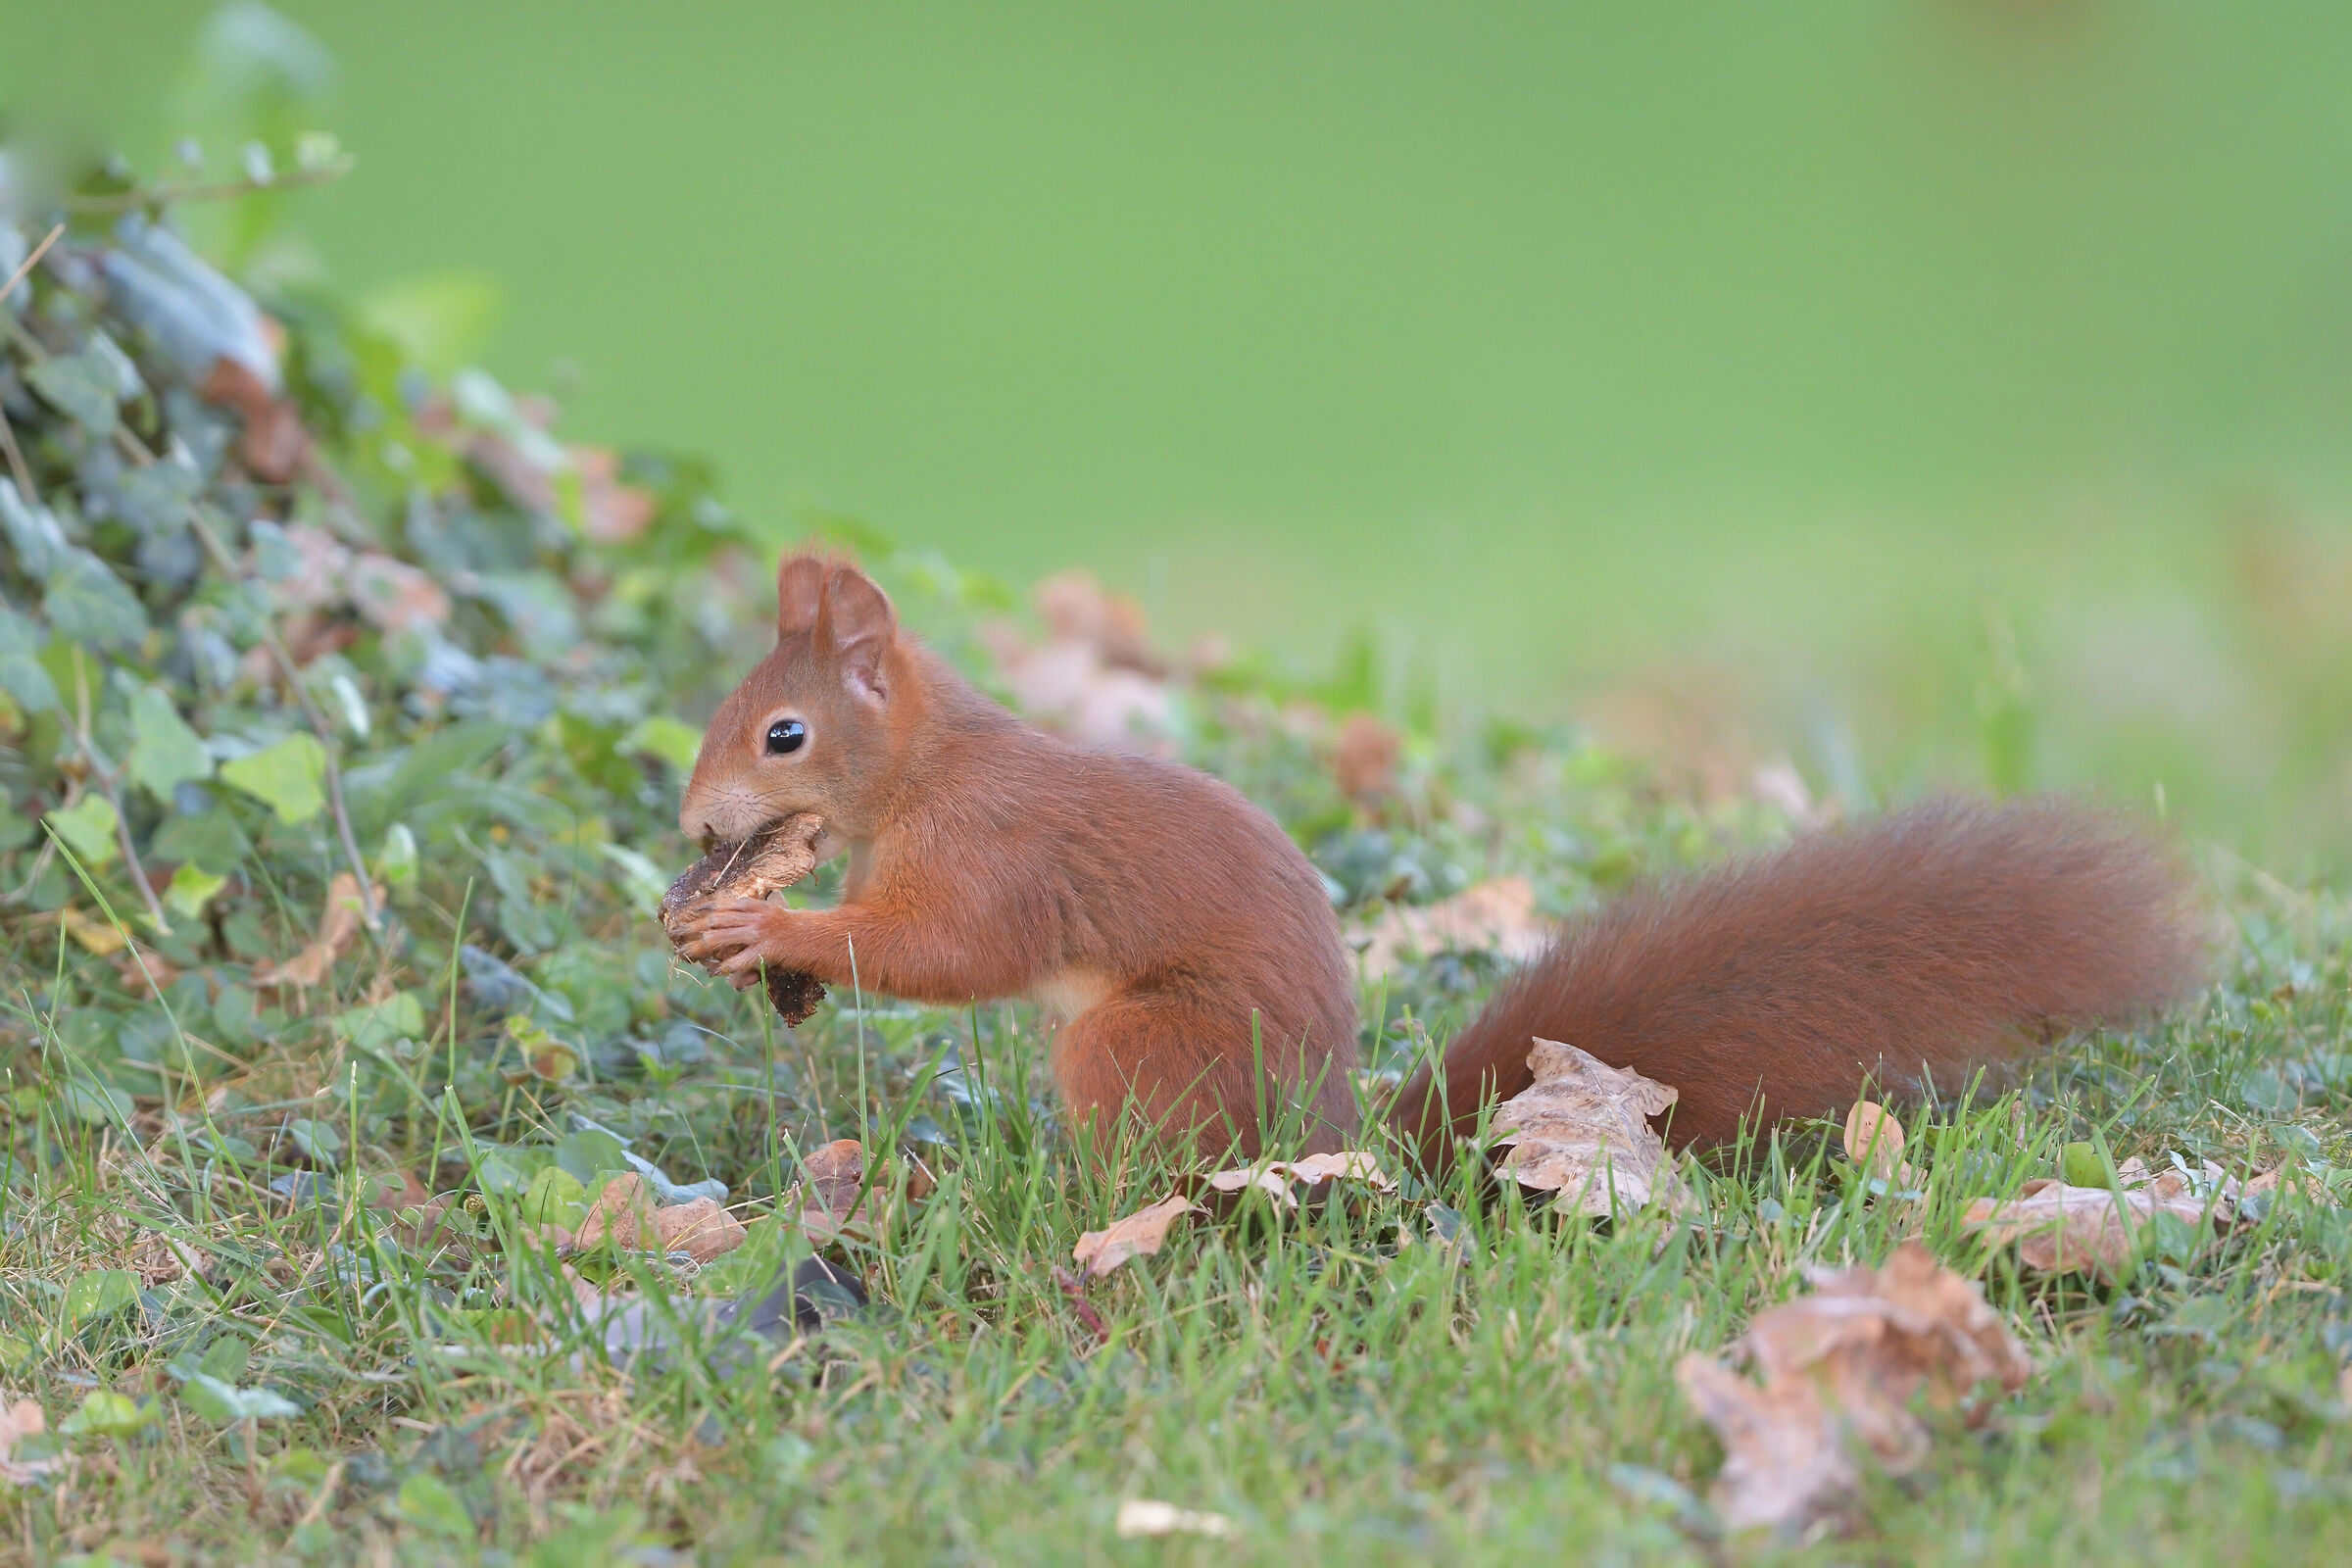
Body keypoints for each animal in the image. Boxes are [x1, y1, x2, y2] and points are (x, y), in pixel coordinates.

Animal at [673, 552, 2209, 1164]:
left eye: (783, 732)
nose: (694, 828)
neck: (927, 771)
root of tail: (1331, 1143)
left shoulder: (992, 855)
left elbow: (949, 950)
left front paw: (771, 933)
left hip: (1132, 1050)